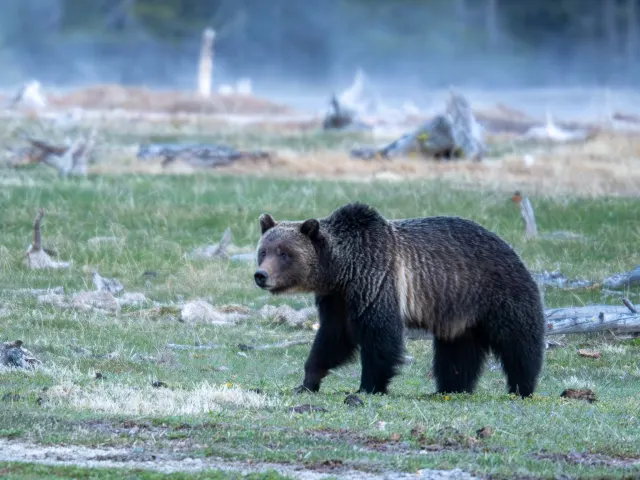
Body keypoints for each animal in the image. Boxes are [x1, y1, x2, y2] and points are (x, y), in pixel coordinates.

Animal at [254, 202, 546, 398]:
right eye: (264, 251)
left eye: (285, 253)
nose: (261, 275)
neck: (342, 269)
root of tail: (509, 246)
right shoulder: (338, 299)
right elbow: (333, 339)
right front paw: (307, 382)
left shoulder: (376, 282)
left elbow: (380, 337)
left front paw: (369, 386)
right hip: (459, 313)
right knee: (457, 354)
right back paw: (450, 388)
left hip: (497, 292)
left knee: (518, 341)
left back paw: (522, 386)